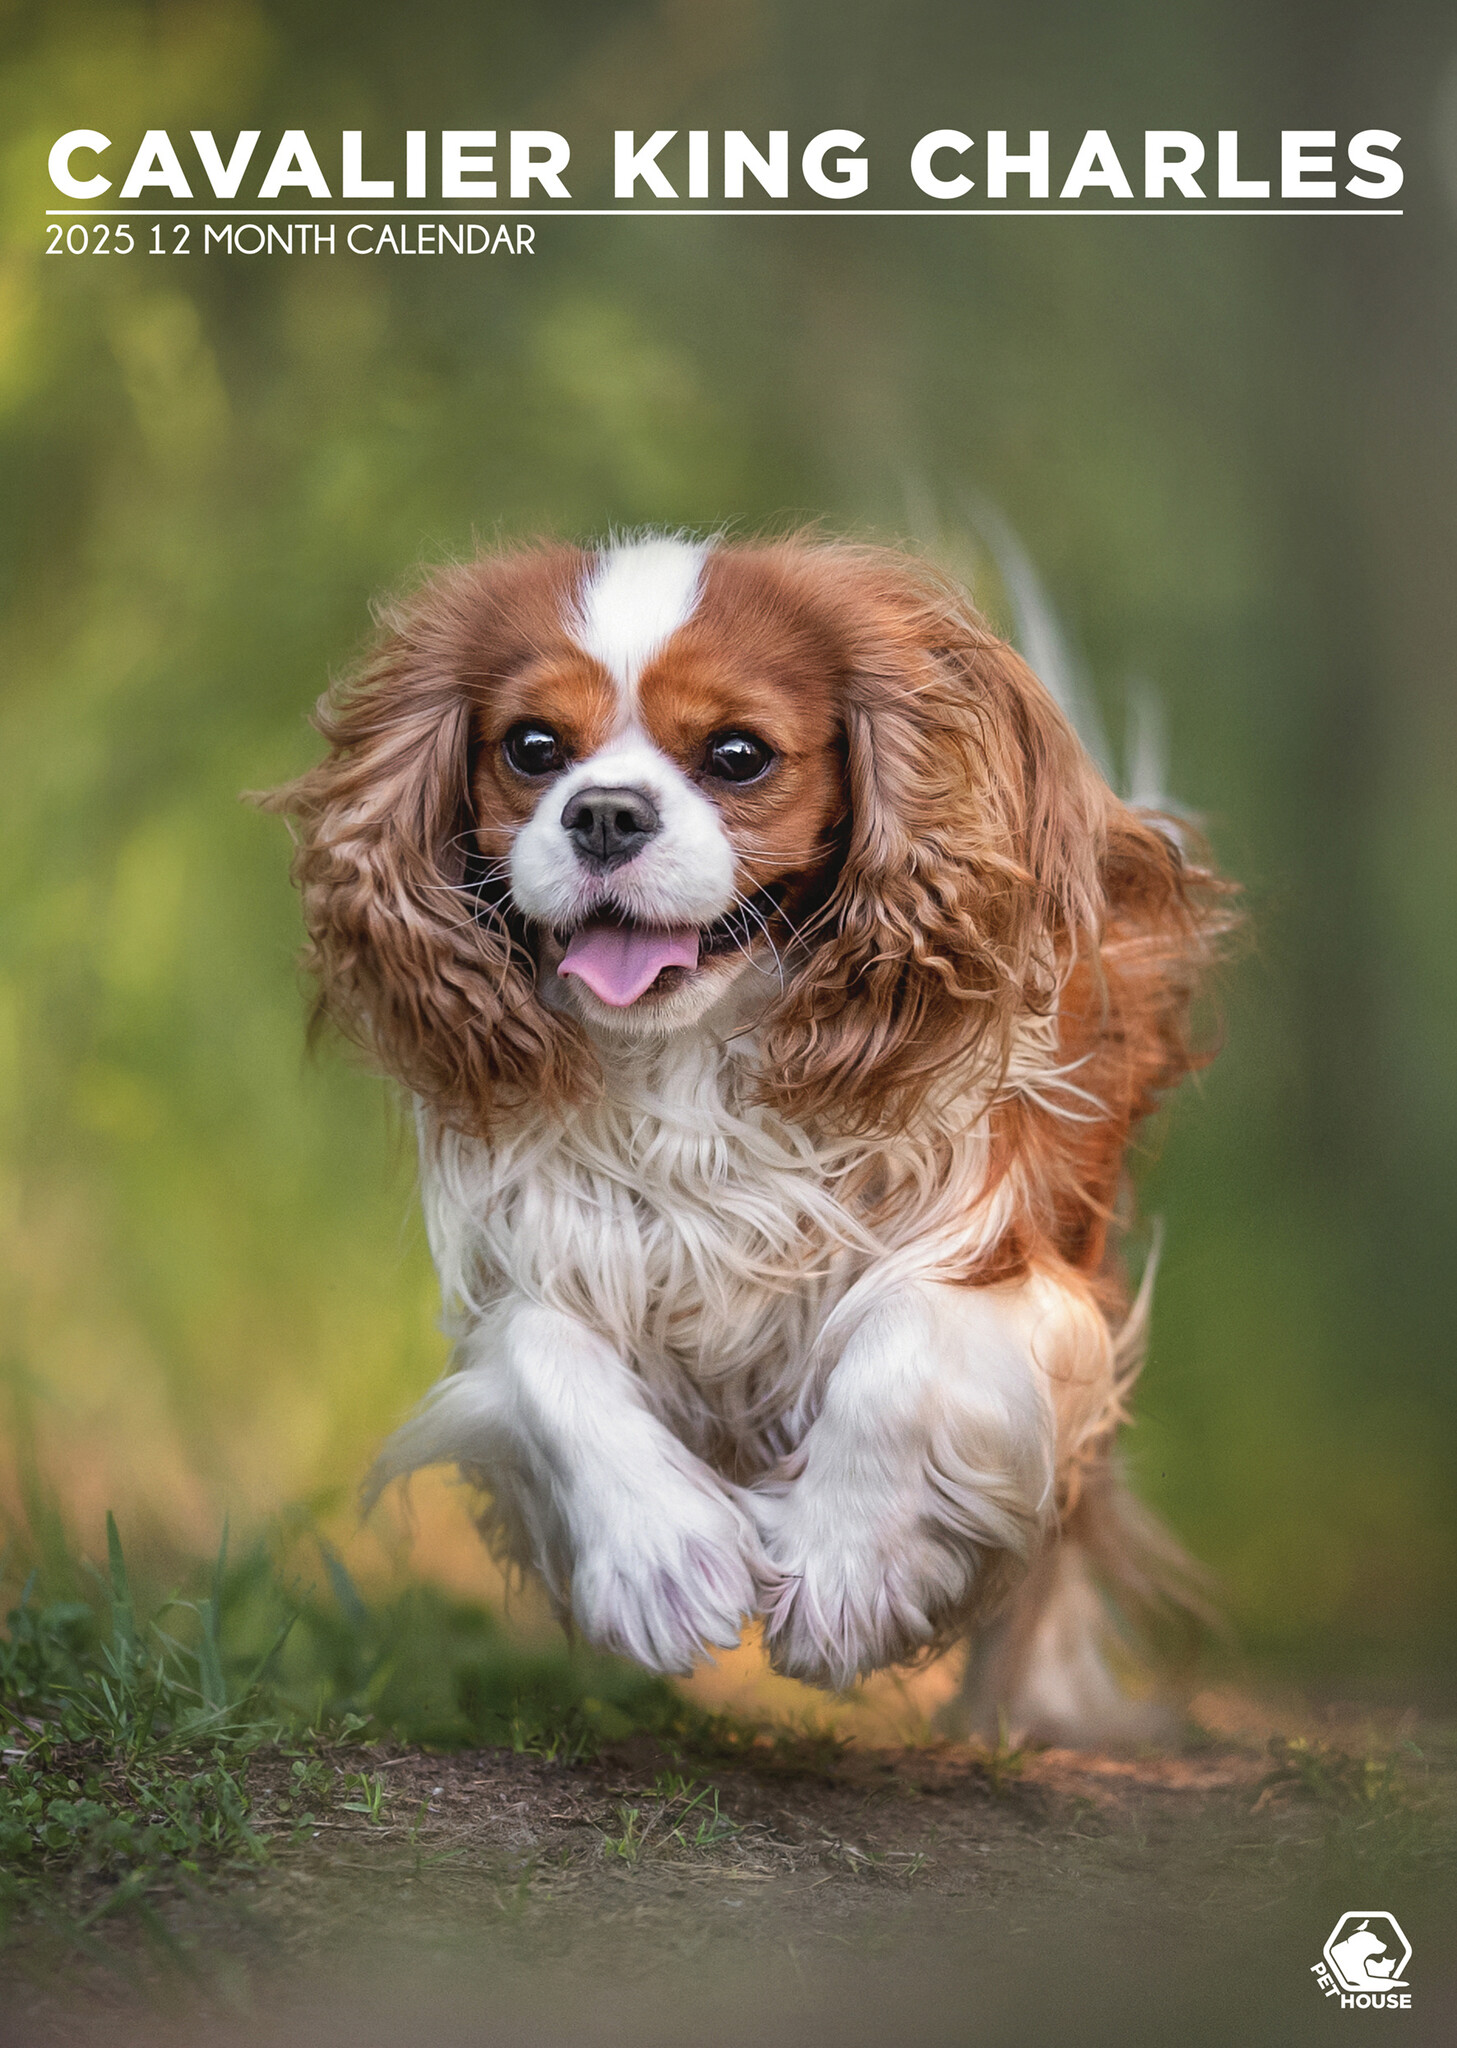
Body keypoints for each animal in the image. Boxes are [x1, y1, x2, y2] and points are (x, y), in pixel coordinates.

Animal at [270, 528, 1229, 1744]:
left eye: (736, 756)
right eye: (532, 747)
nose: (604, 812)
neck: (692, 1062)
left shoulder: (1011, 1264)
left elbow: (904, 1339)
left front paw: (845, 1568)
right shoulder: (532, 1251)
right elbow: (541, 1352)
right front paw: (657, 1558)